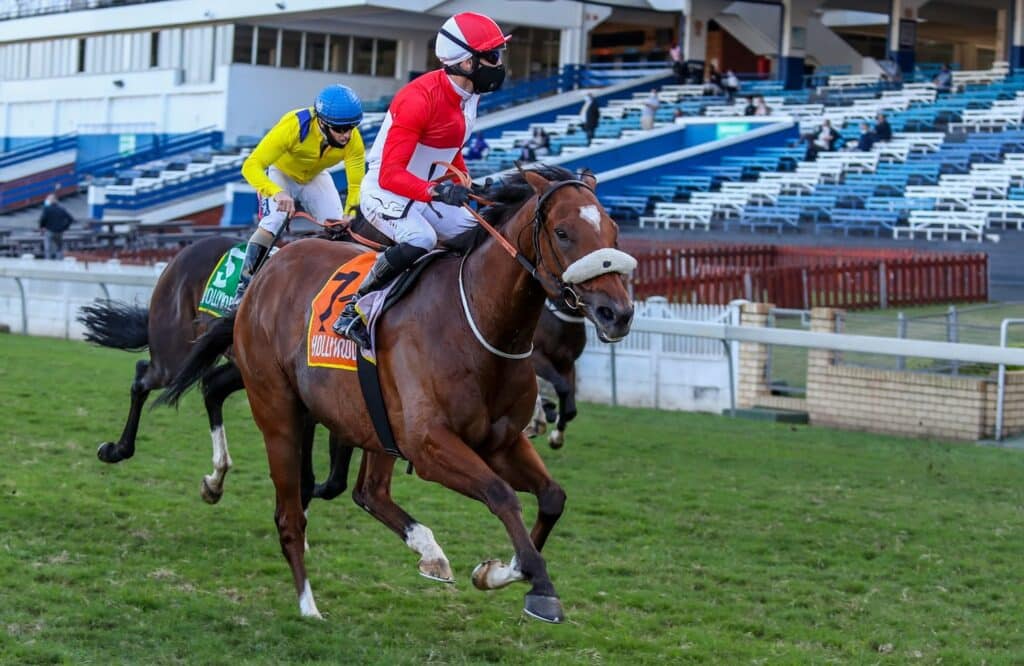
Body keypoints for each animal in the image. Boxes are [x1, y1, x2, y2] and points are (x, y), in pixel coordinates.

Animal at [78, 233, 352, 504]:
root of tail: (184, 252)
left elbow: (335, 479)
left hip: (236, 367)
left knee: (211, 386)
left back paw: (214, 481)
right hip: (175, 356)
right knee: (143, 377)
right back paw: (116, 450)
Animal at [161, 165, 630, 622]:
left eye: (613, 230)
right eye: (564, 232)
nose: (618, 313)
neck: (477, 322)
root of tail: (265, 274)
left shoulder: (501, 442)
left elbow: (552, 497)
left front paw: (499, 572)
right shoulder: (428, 445)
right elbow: (501, 494)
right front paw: (539, 586)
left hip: (369, 422)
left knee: (368, 492)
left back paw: (428, 551)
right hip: (278, 409)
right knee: (289, 512)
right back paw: (308, 605)